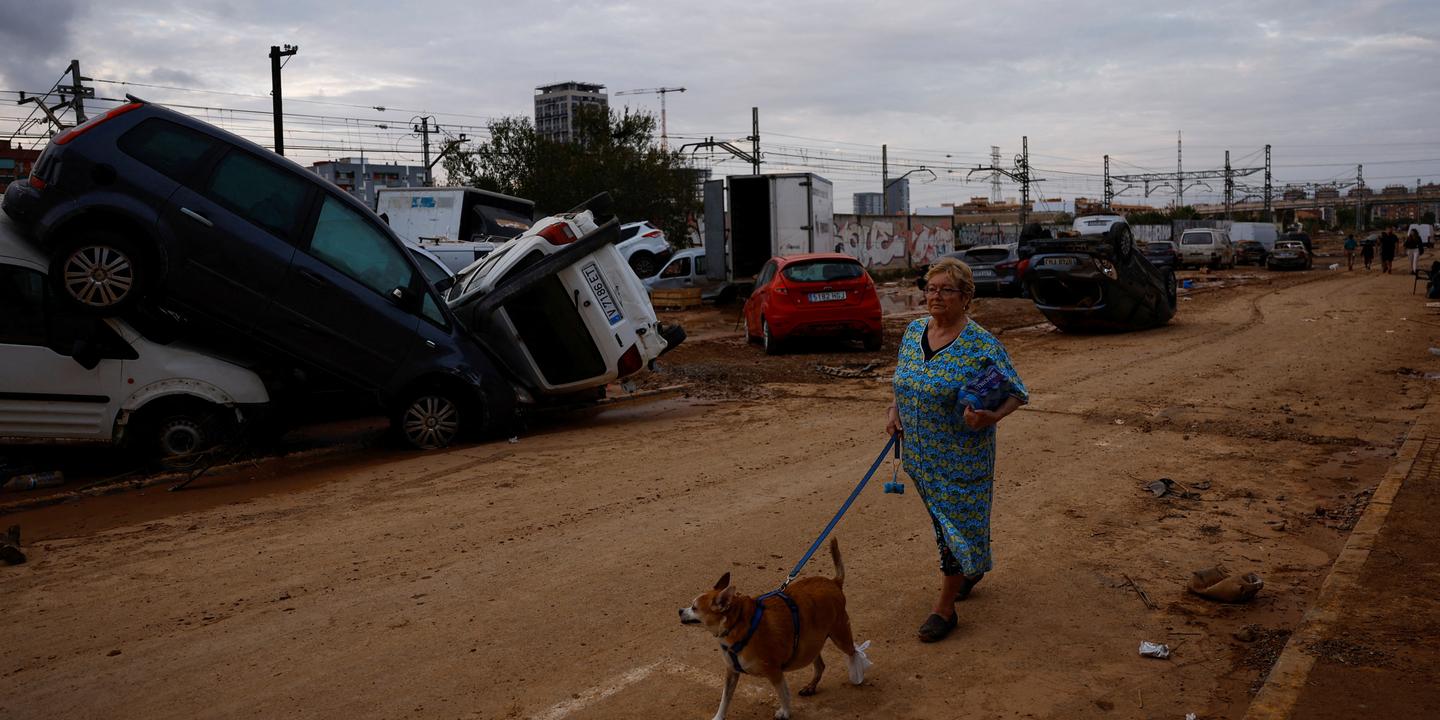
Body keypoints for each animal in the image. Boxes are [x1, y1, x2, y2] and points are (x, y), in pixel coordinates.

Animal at [679, 538, 869, 717]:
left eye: (694, 607)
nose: (680, 610)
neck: (737, 624)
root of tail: (834, 582)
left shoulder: (774, 671)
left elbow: (783, 694)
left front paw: (785, 712)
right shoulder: (731, 672)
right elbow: (725, 699)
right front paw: (718, 717)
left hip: (839, 635)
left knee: (853, 651)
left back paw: (858, 673)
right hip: (809, 641)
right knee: (820, 665)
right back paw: (811, 686)